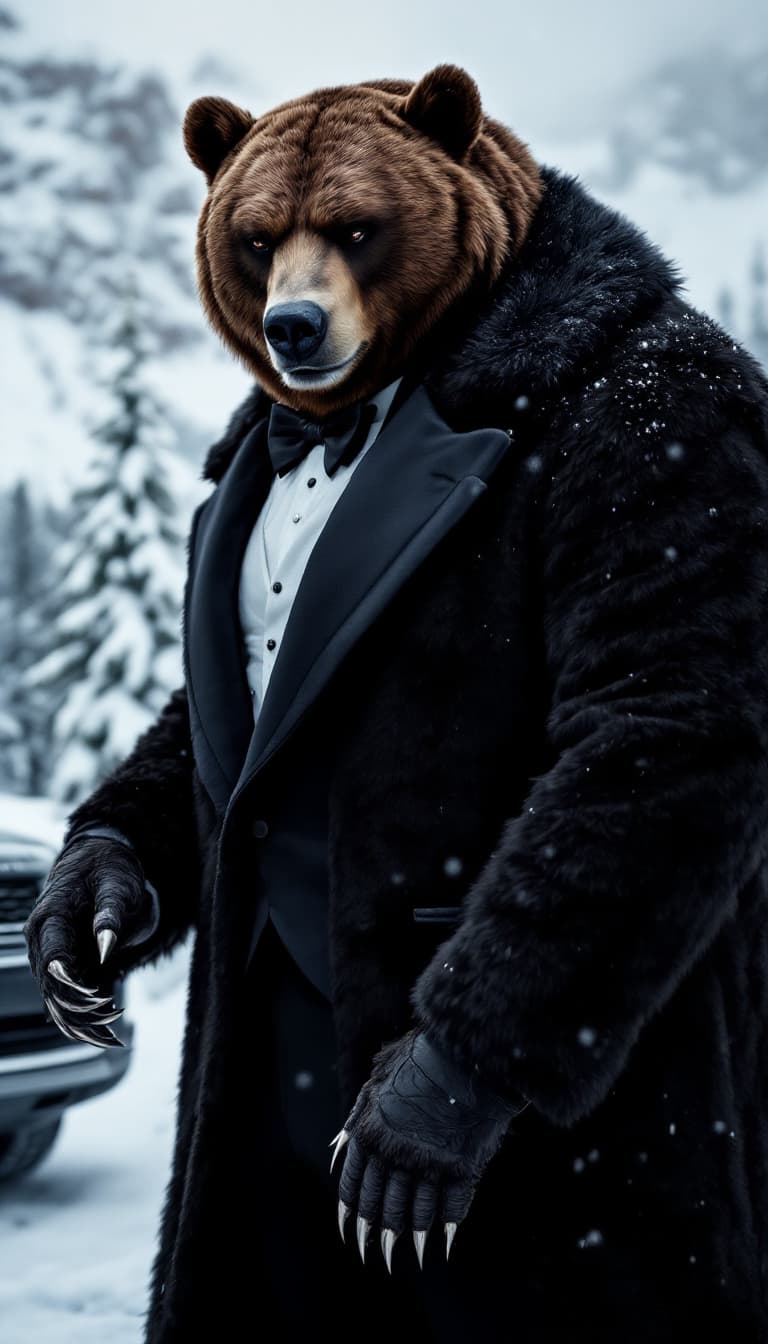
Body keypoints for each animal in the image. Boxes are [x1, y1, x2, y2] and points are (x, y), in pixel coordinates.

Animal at [24, 63, 768, 1344]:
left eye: (359, 226)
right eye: (256, 235)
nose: (293, 326)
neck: (344, 424)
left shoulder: (657, 432)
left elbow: (648, 711)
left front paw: (421, 1109)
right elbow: (187, 728)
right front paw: (91, 903)